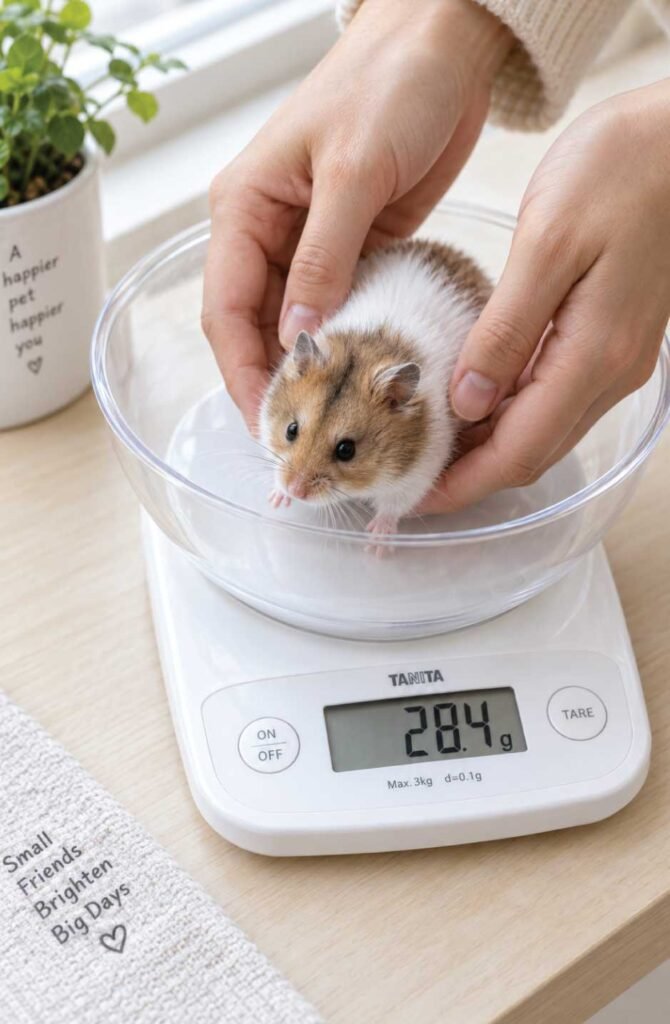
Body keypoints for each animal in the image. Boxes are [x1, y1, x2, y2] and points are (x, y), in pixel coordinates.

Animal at [259, 238, 493, 537]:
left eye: (346, 450)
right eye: (291, 430)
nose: (295, 490)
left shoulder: (416, 476)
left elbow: (392, 508)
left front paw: (376, 539)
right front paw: (276, 499)